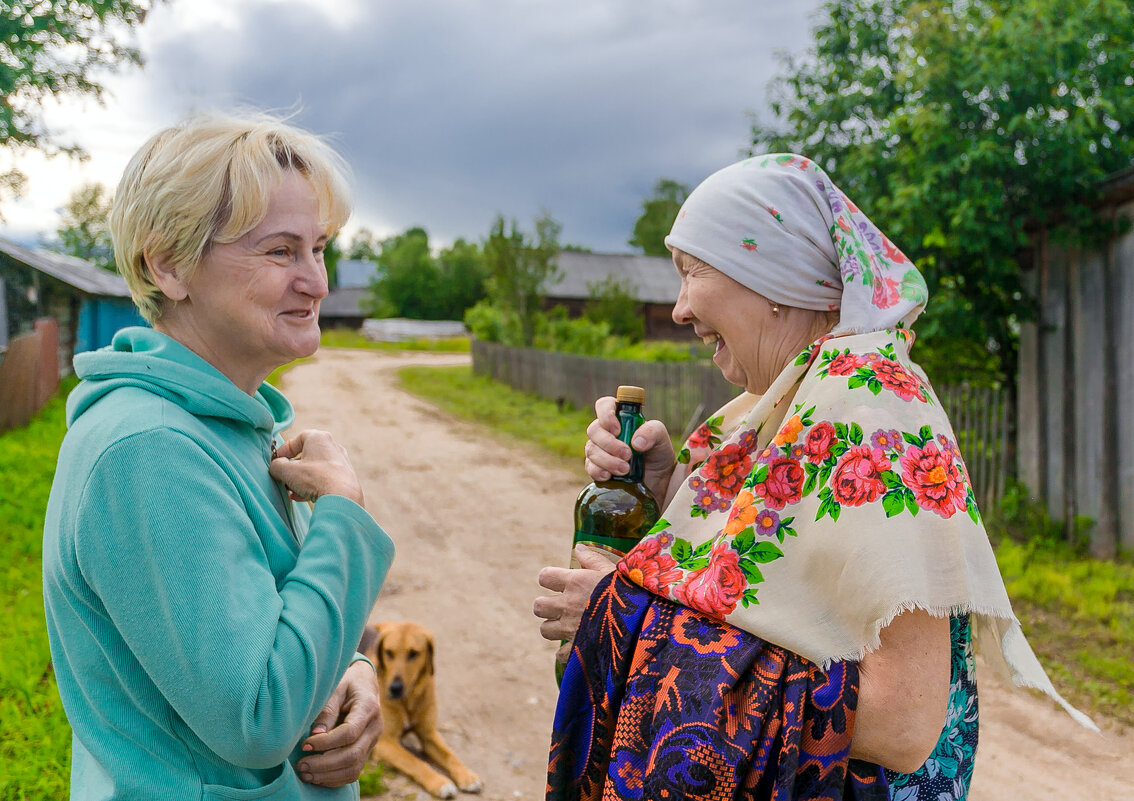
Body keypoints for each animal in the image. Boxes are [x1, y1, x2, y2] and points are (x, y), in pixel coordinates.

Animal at [367, 621, 483, 794]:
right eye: (389, 652)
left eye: (413, 653)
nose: (395, 688)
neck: (408, 699)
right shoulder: (384, 741)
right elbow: (413, 761)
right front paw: (440, 782)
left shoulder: (428, 734)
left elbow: (450, 755)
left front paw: (467, 775)